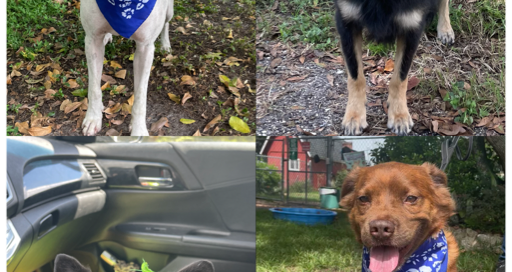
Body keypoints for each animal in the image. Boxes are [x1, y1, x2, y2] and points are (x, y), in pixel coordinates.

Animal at [80, 0, 174, 135]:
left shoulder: (145, 48)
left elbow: (140, 97)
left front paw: (138, 130)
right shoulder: (92, 40)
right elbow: (94, 89)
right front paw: (93, 118)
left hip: (169, 11)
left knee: (166, 23)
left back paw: (165, 45)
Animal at [334, 0, 454, 135]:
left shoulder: (411, 26)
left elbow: (400, 78)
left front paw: (399, 115)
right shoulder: (347, 22)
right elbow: (355, 76)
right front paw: (354, 115)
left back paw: (445, 29)